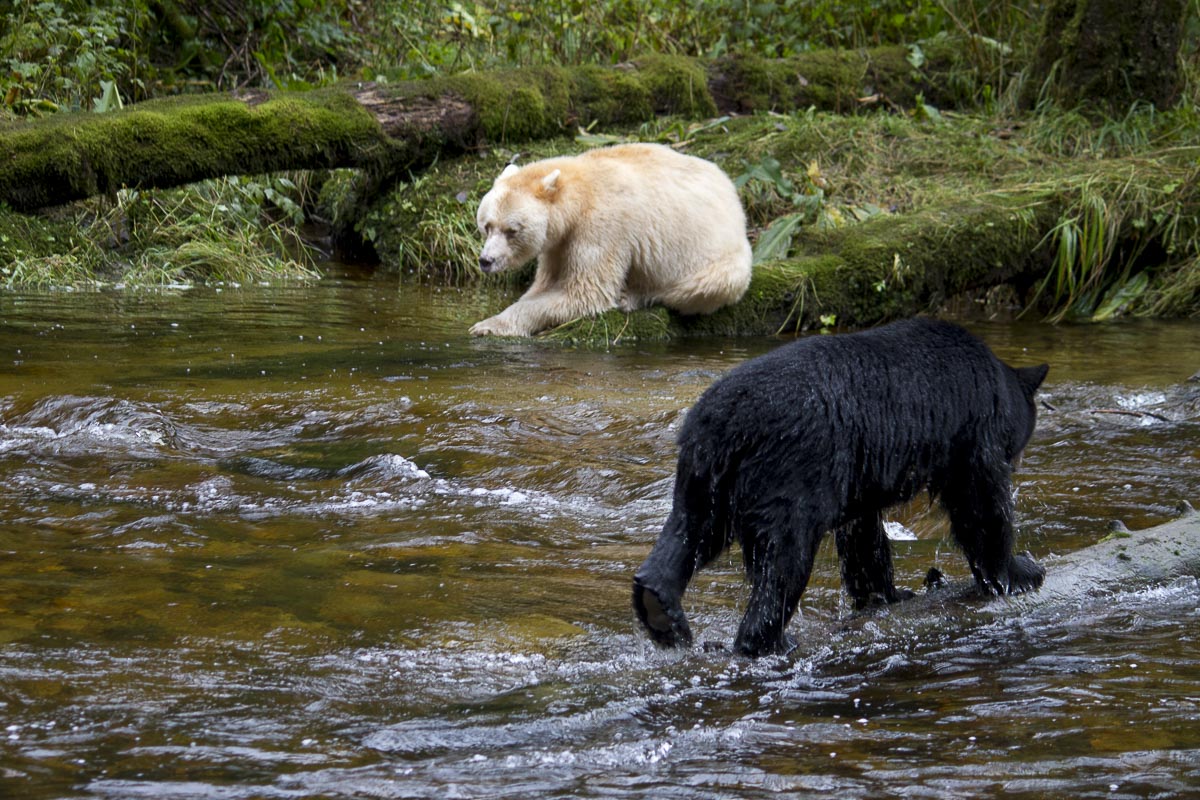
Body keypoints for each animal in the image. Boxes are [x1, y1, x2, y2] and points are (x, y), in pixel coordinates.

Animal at [470, 143, 753, 337]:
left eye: (511, 230)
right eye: (487, 226)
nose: (486, 260)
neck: (579, 193)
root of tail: (736, 202)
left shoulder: (603, 227)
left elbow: (585, 292)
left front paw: (487, 325)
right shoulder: (559, 242)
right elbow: (545, 283)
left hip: (723, 257)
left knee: (704, 285)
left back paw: (633, 295)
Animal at [632, 316, 1049, 658]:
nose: (1019, 460)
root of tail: (728, 419)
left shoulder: (862, 471)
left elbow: (863, 536)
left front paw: (887, 594)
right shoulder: (972, 429)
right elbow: (979, 501)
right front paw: (1019, 572)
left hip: (705, 472)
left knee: (690, 530)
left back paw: (660, 608)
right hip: (789, 474)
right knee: (785, 560)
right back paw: (771, 641)